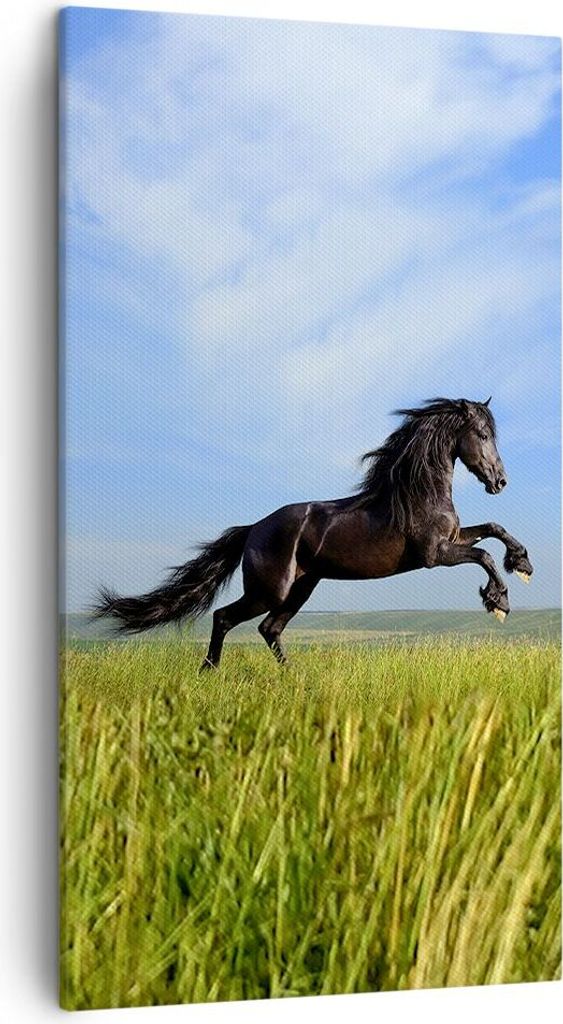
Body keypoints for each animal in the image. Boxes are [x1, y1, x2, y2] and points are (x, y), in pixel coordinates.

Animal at [95, 397, 533, 670]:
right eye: (482, 435)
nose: (500, 481)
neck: (418, 493)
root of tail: (252, 529)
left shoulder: (453, 538)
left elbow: (493, 529)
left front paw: (522, 564)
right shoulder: (434, 554)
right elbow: (483, 555)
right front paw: (499, 601)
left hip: (302, 587)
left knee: (269, 628)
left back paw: (293, 676)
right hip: (269, 590)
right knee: (225, 617)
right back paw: (209, 671)